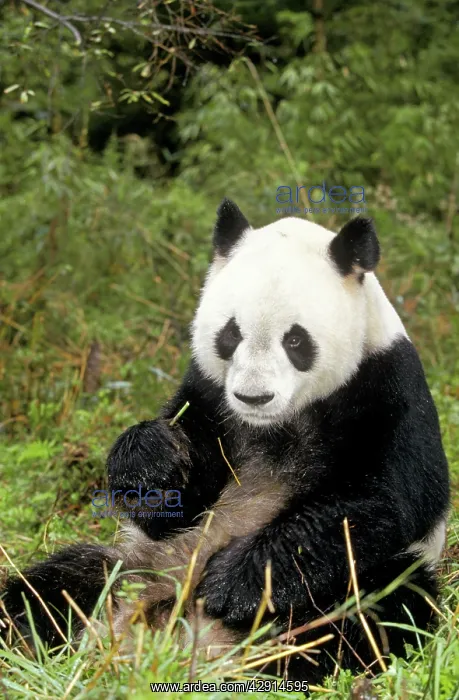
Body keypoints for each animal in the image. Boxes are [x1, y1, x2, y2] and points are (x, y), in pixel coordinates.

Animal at [1, 200, 450, 683]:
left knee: (380, 603)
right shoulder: (209, 394)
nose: (253, 396)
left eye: (296, 339)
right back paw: (28, 637)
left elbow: (377, 499)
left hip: (355, 582)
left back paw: (286, 658)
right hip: (138, 563)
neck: (275, 423)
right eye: (230, 334)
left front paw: (235, 584)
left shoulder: (386, 386)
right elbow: (174, 501)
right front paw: (152, 459)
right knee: (62, 580)